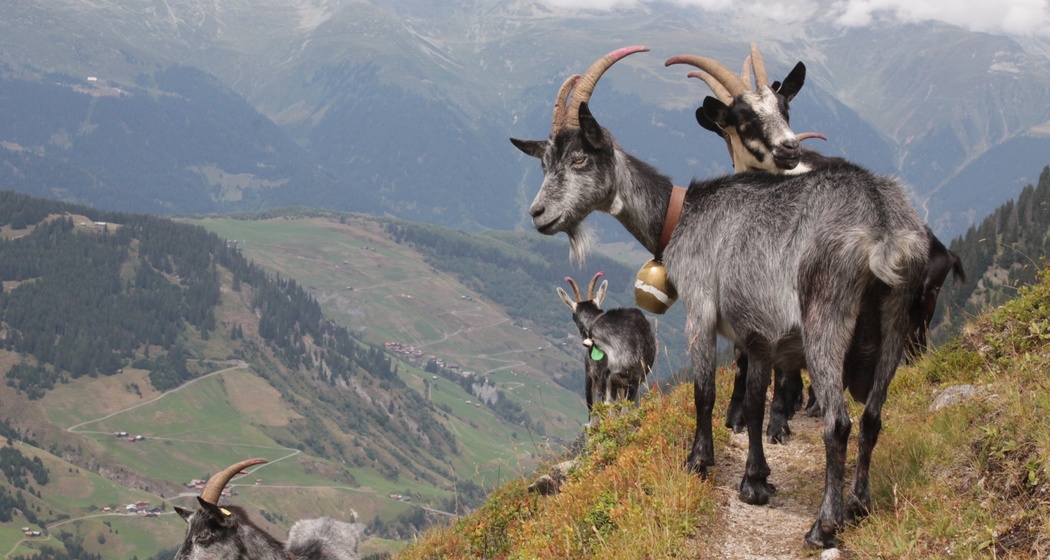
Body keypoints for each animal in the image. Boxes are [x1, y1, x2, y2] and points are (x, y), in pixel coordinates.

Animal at [557, 271, 657, 420]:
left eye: (573, 317)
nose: (585, 342)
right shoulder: (605, 377)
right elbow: (607, 408)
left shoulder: (634, 378)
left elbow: (623, 410)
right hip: (595, 377)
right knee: (594, 413)